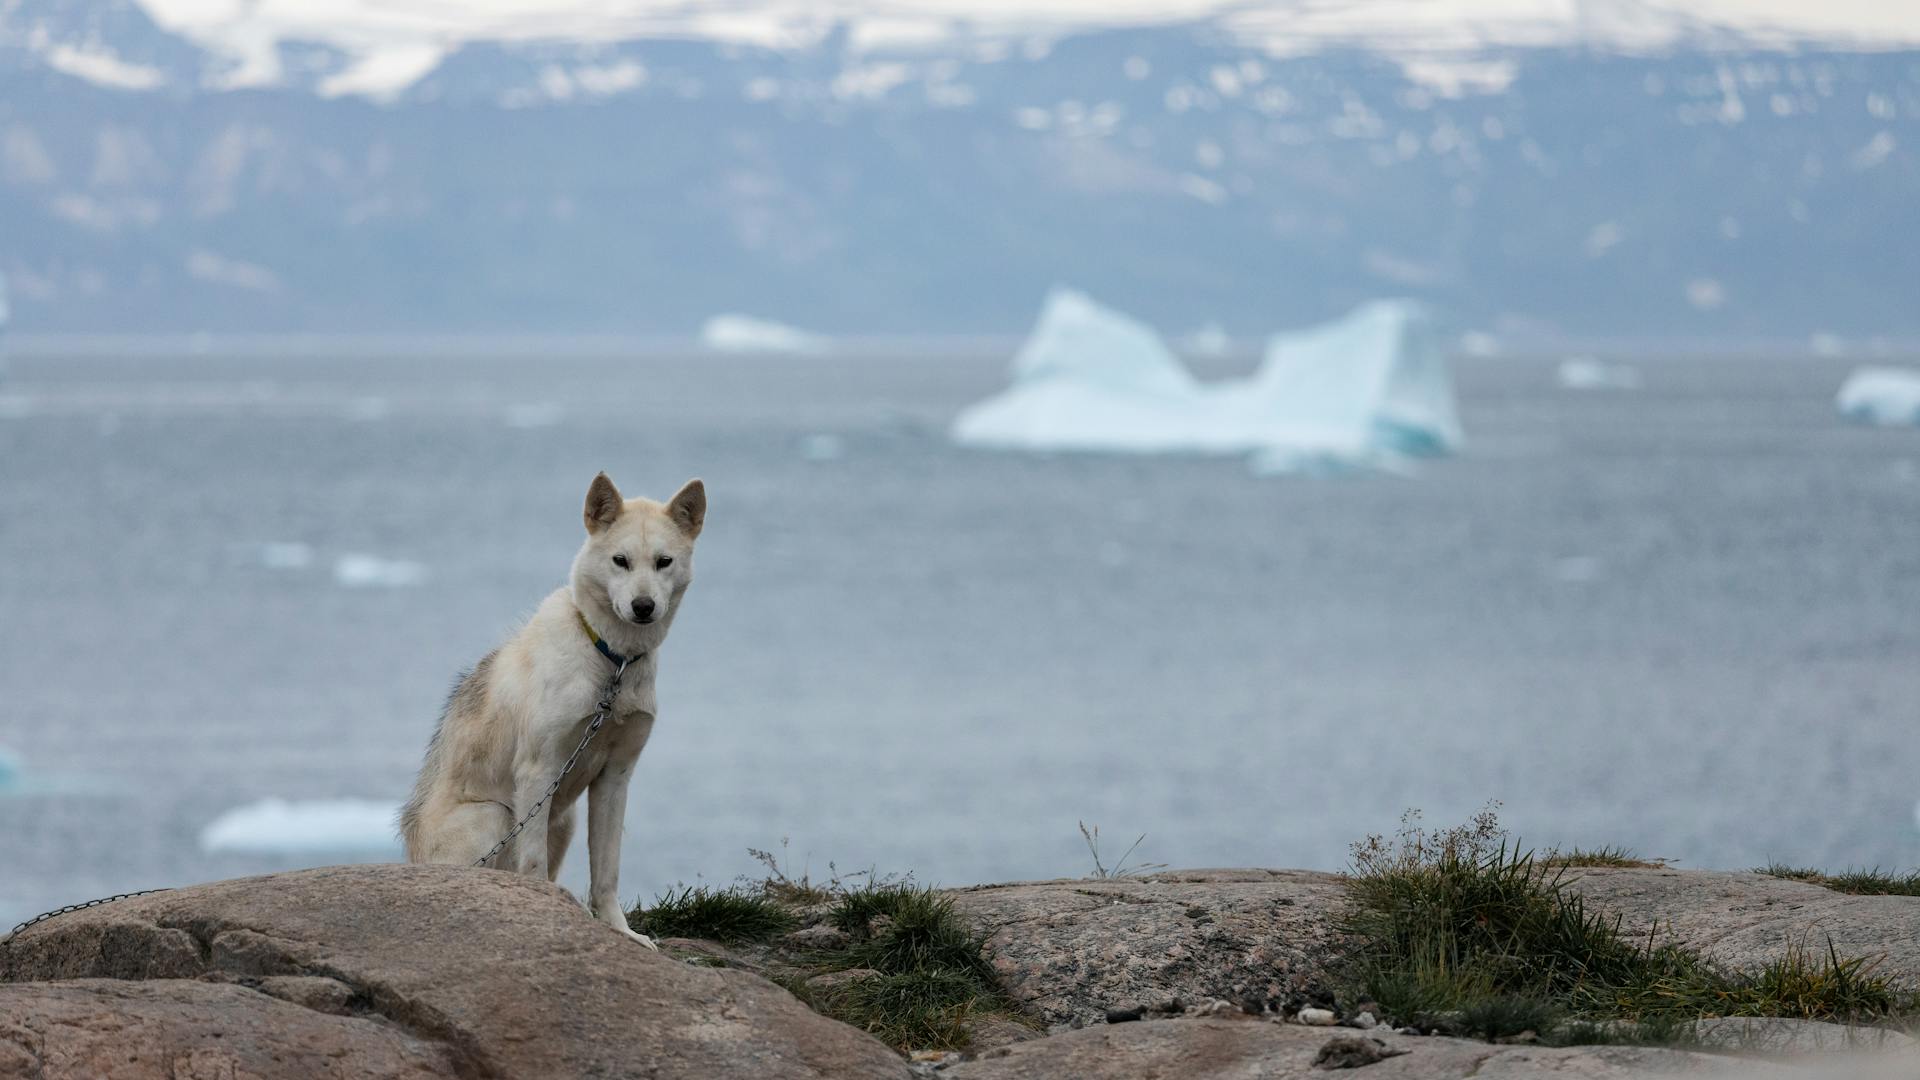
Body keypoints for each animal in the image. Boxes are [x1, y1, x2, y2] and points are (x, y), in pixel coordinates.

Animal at [397, 470, 706, 941]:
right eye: (620, 561)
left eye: (663, 562)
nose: (643, 607)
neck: (610, 662)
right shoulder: (538, 771)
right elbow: (533, 865)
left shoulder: (615, 778)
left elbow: (607, 872)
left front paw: (622, 933)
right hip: (496, 815)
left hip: (564, 820)